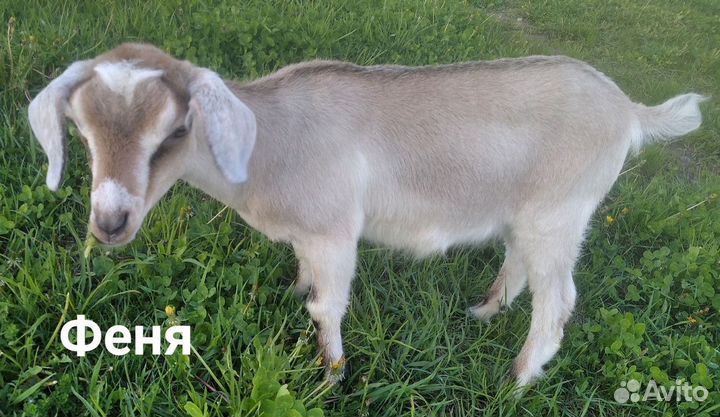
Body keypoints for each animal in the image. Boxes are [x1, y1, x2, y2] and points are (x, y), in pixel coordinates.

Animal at [28, 43, 705, 387]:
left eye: (174, 131)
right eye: (80, 128)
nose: (110, 223)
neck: (272, 142)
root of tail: (629, 111)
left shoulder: (334, 230)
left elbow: (328, 307)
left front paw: (331, 373)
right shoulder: (309, 232)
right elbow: (306, 281)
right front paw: (293, 293)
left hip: (561, 211)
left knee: (557, 300)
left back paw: (517, 377)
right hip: (530, 211)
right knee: (518, 261)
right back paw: (485, 312)